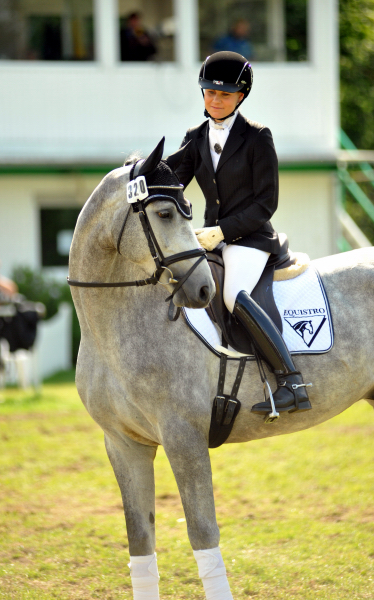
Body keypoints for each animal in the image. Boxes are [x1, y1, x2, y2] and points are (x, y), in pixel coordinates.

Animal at [69, 141, 374, 600]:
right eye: (164, 213)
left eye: (186, 212)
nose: (203, 291)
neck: (111, 326)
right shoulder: (123, 444)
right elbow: (140, 543)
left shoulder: (184, 440)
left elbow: (203, 535)